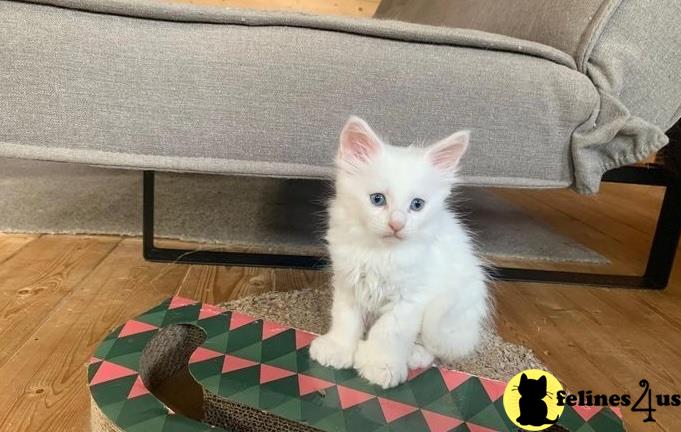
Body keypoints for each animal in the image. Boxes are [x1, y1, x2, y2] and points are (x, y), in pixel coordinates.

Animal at [308, 116, 488, 390]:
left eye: (417, 205)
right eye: (377, 199)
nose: (397, 224)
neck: (379, 254)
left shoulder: (410, 299)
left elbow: (389, 332)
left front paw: (380, 366)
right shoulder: (347, 282)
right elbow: (345, 319)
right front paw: (338, 349)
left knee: (434, 346)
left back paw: (414, 354)